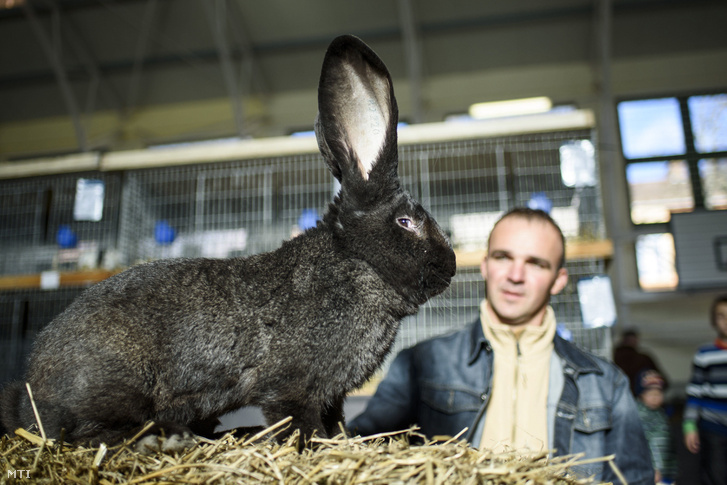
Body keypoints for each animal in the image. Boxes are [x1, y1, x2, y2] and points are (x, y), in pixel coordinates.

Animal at [0, 35, 456, 446]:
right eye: (406, 222)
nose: (450, 266)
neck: (358, 263)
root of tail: (28, 394)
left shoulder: (333, 395)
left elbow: (335, 424)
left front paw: (344, 442)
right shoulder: (291, 387)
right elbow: (301, 424)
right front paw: (314, 446)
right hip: (117, 383)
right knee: (89, 433)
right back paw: (170, 439)